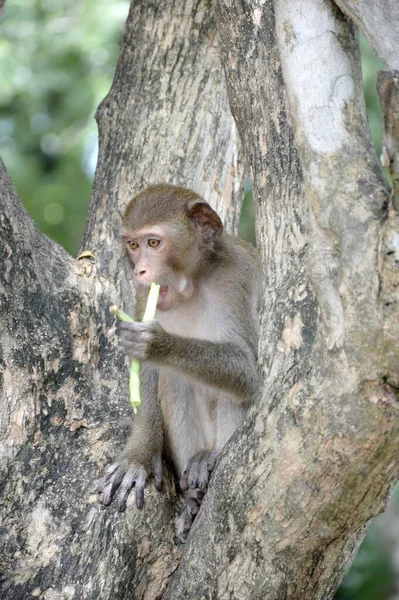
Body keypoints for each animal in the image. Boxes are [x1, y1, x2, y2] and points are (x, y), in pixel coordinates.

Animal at [98, 183, 260, 540]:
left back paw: (210, 460)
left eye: (154, 243)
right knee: (175, 379)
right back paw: (192, 498)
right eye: (133, 245)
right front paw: (138, 458)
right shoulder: (144, 294)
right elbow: (148, 374)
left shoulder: (239, 275)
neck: (196, 282)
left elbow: (248, 372)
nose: (140, 271)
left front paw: (156, 342)